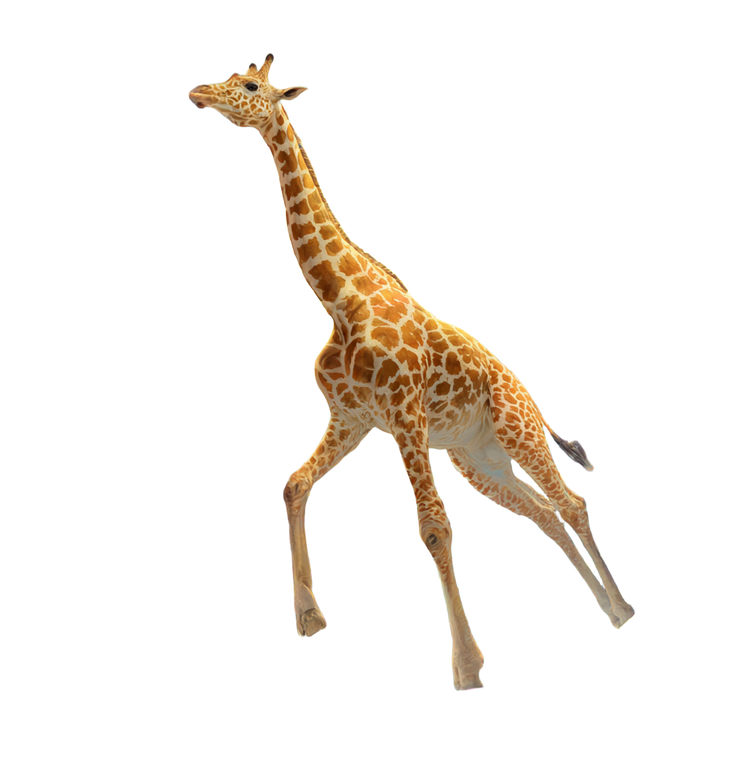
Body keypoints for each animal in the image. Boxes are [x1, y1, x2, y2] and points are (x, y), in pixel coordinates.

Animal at [188, 54, 636, 691]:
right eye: (228, 79)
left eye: (249, 85)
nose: (199, 93)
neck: (340, 298)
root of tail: (528, 397)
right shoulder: (353, 420)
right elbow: (295, 485)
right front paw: (309, 617)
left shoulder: (403, 414)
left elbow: (435, 528)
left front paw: (469, 665)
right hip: (478, 458)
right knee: (543, 512)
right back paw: (606, 610)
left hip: (517, 432)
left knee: (570, 504)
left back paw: (623, 609)